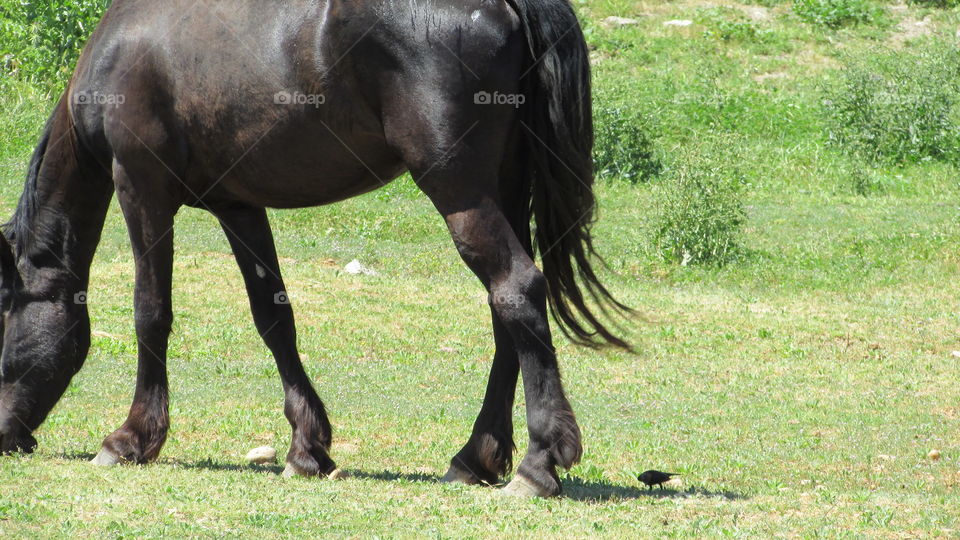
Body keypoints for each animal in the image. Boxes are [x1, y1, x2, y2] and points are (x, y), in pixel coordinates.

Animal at [0, 0, 630, 497]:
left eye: (3, 316)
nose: (5, 436)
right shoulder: (238, 207)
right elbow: (274, 318)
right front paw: (307, 447)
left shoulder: (141, 189)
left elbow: (150, 313)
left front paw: (131, 438)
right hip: (505, 186)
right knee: (507, 313)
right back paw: (474, 457)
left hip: (459, 190)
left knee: (516, 287)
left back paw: (538, 464)